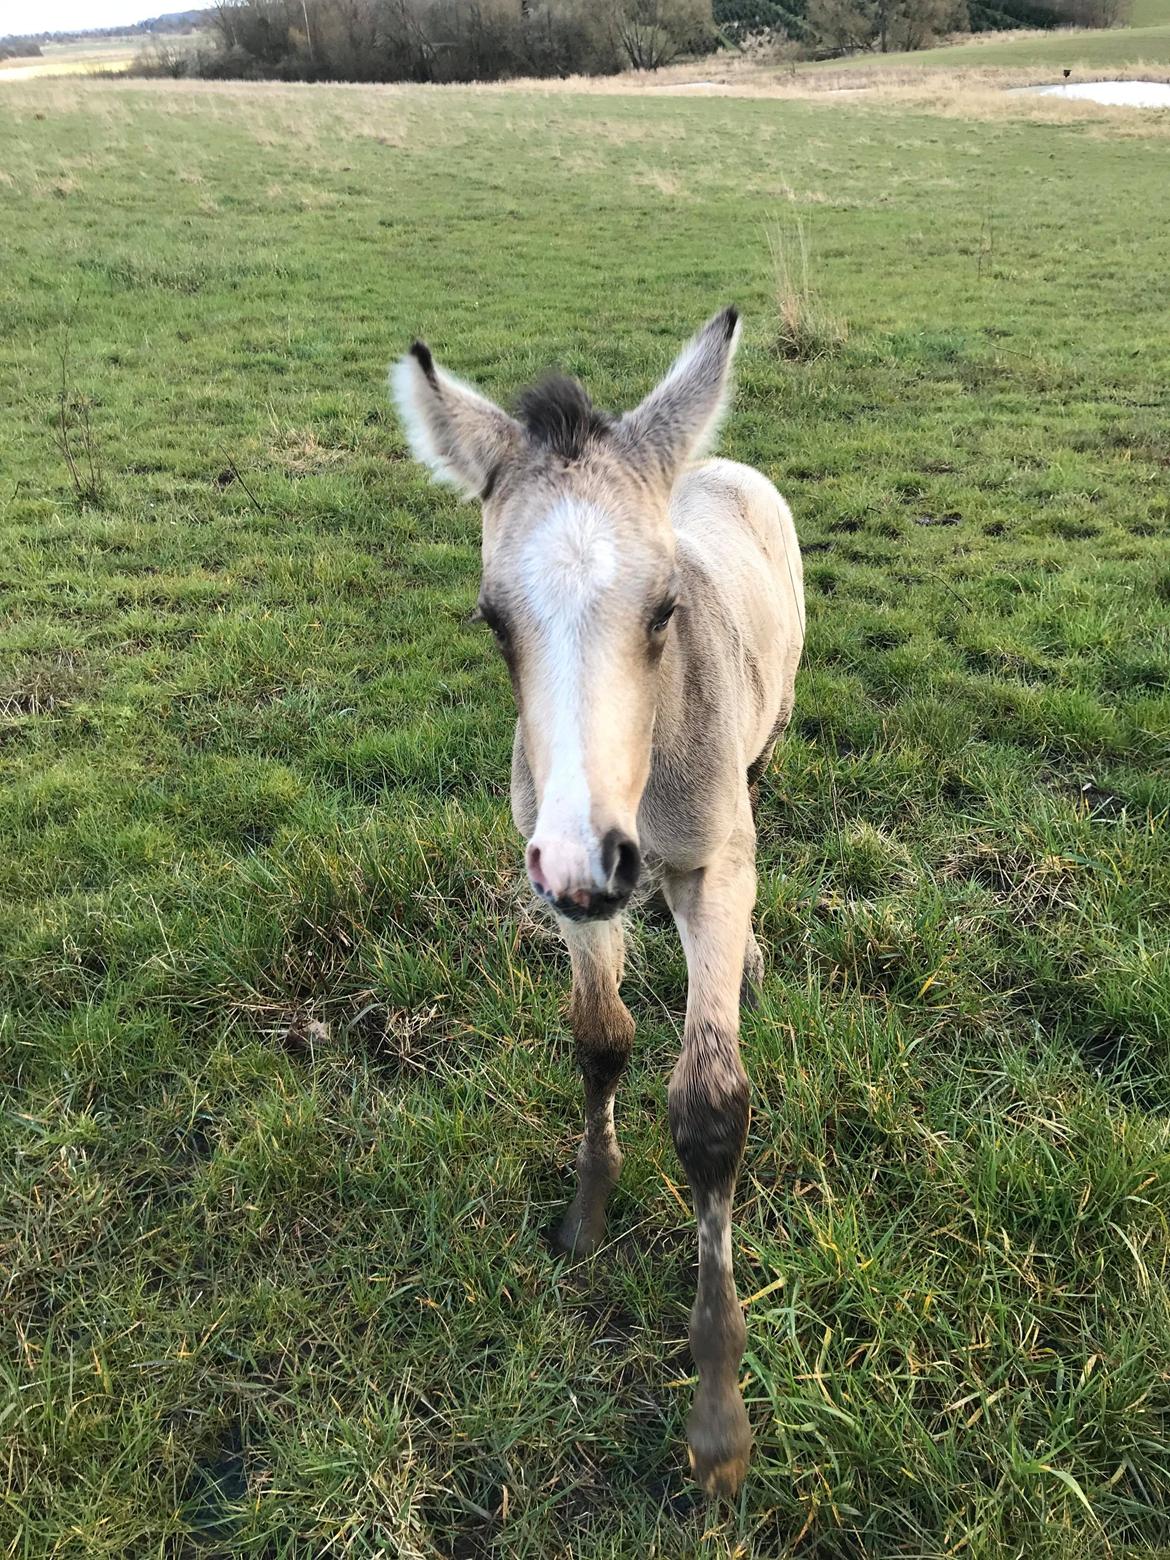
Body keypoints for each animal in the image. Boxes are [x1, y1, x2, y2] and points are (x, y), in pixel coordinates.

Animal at [394, 307, 804, 1497]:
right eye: (491, 619)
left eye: (665, 608)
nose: (591, 859)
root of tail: (716, 465)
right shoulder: (569, 883)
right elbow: (601, 1037)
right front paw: (586, 1212)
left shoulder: (706, 864)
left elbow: (710, 1111)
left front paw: (718, 1422)